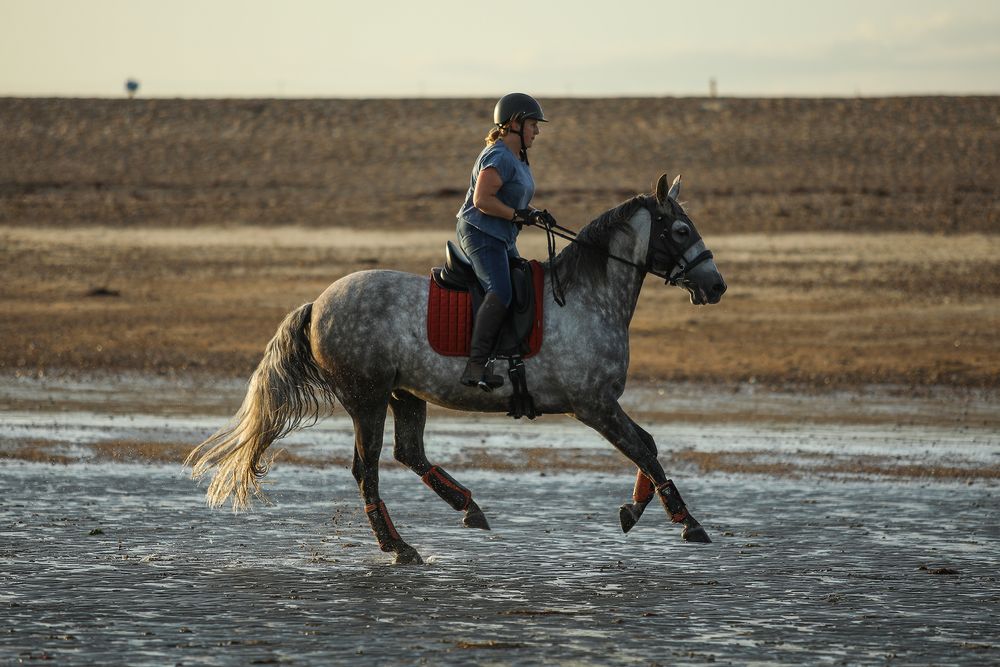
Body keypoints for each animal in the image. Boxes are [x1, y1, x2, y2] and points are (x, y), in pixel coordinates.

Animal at [186, 173, 727, 564]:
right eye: (681, 230)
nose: (716, 285)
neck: (586, 299)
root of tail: (318, 303)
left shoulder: (601, 405)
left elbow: (646, 446)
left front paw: (635, 509)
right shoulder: (592, 404)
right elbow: (643, 448)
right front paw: (687, 522)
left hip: (404, 394)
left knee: (408, 453)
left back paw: (468, 509)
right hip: (367, 398)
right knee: (368, 469)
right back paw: (400, 548)